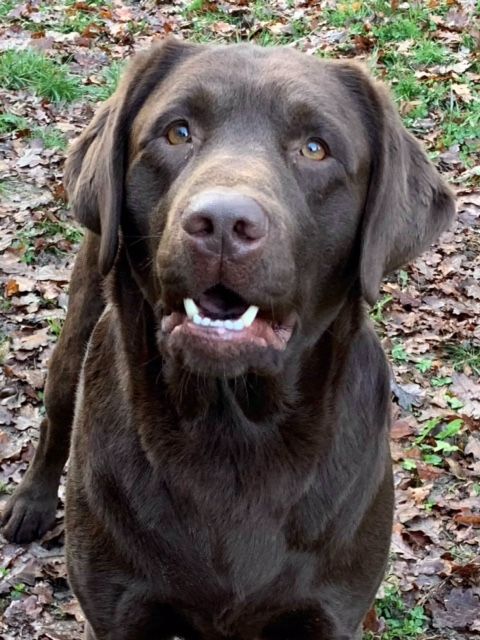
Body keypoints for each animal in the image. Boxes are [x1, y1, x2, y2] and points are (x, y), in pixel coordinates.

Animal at [2, 40, 454, 640]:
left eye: (315, 149)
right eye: (177, 133)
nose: (220, 223)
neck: (232, 429)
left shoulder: (332, 608)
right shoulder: (119, 608)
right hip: (76, 332)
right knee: (56, 414)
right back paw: (30, 503)